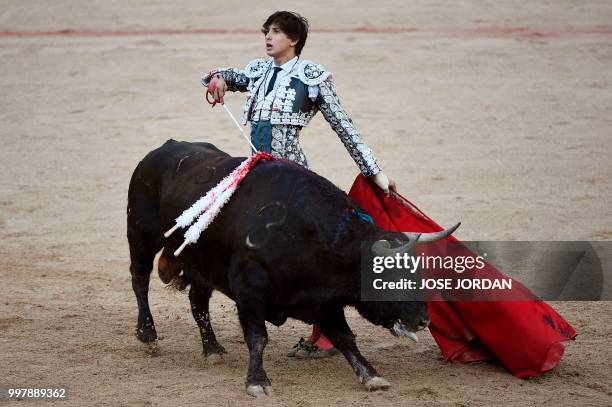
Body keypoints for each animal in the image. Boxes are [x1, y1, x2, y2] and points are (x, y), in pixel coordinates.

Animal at [128, 141, 460, 398]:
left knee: (198, 300)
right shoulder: (249, 291)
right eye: (387, 274)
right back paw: (148, 334)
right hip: (142, 236)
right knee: (140, 279)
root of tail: (161, 149)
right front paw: (258, 382)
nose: (423, 320)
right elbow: (258, 337)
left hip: (202, 262)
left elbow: (345, 338)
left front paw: (371, 376)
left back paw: (212, 349)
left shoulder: (324, 299)